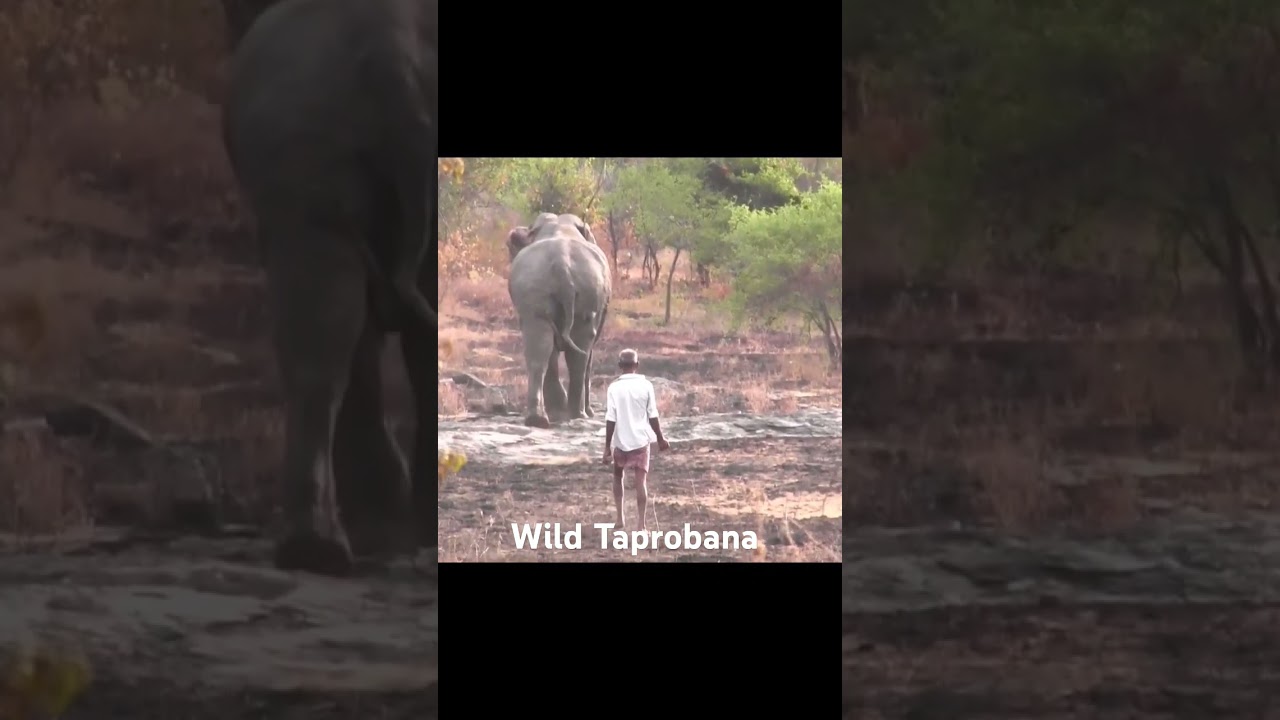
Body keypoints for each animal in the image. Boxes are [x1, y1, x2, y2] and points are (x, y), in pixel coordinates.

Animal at [507, 213, 612, 428]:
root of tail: (561, 265)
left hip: (535, 288)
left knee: (538, 348)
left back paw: (540, 419)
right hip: (588, 292)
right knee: (580, 351)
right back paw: (577, 414)